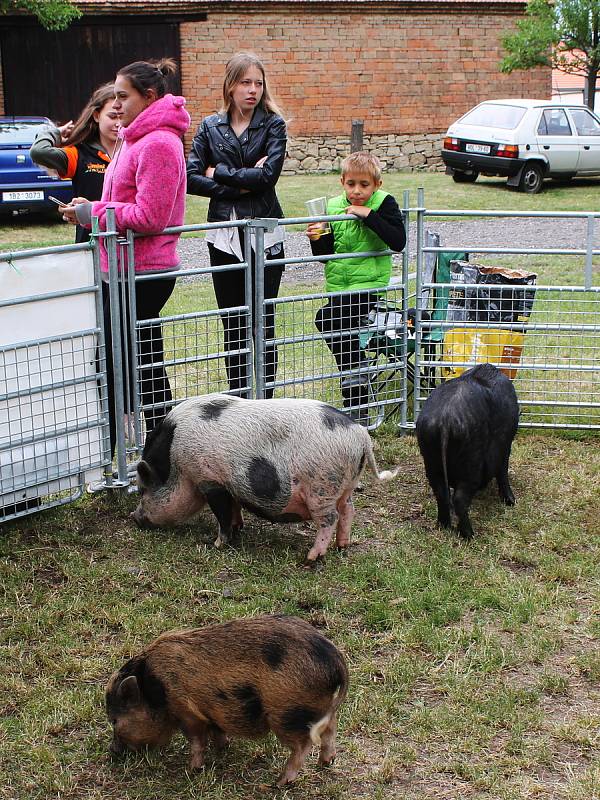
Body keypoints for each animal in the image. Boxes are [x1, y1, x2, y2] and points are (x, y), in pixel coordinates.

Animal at [106, 616, 350, 784]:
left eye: (115, 720)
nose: (113, 751)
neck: (154, 689)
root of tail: (336, 660)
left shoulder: (187, 711)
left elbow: (197, 741)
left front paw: (192, 771)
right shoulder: (211, 713)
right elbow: (217, 732)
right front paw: (223, 748)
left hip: (287, 713)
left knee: (305, 743)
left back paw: (280, 783)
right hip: (319, 707)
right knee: (330, 728)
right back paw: (326, 762)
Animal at [132, 394, 398, 564]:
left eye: (143, 490)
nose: (133, 517)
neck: (175, 462)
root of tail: (360, 434)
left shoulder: (210, 481)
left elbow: (222, 514)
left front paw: (216, 544)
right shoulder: (230, 484)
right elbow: (234, 507)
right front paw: (238, 528)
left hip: (322, 486)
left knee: (329, 518)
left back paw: (312, 558)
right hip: (346, 486)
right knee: (348, 511)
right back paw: (342, 547)